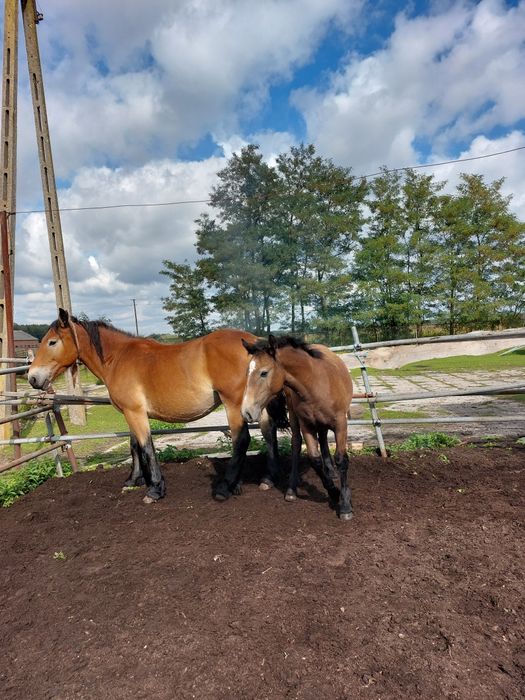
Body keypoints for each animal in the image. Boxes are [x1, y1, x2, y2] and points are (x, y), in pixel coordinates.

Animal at [27, 310, 284, 504]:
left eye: (52, 342)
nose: (32, 378)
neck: (118, 358)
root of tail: (253, 342)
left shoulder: (135, 412)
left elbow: (146, 446)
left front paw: (155, 489)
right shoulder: (131, 412)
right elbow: (134, 446)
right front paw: (134, 480)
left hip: (233, 405)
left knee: (241, 440)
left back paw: (227, 487)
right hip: (256, 405)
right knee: (268, 433)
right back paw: (266, 479)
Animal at [239, 334, 354, 520]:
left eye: (264, 373)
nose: (246, 412)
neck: (316, 383)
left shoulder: (340, 424)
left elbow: (341, 460)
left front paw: (345, 506)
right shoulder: (306, 424)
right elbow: (314, 459)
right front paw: (334, 493)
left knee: (323, 439)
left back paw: (331, 471)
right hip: (295, 416)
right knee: (296, 443)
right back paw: (292, 489)